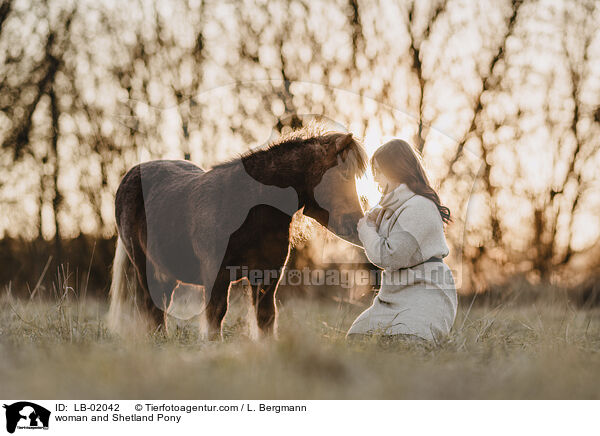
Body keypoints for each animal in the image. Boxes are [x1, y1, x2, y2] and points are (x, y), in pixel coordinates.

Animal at [106, 127, 366, 338]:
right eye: (343, 174)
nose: (356, 224)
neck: (248, 207)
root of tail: (130, 175)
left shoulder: (267, 274)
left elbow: (266, 317)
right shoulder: (216, 274)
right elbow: (216, 314)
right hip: (144, 266)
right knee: (152, 306)